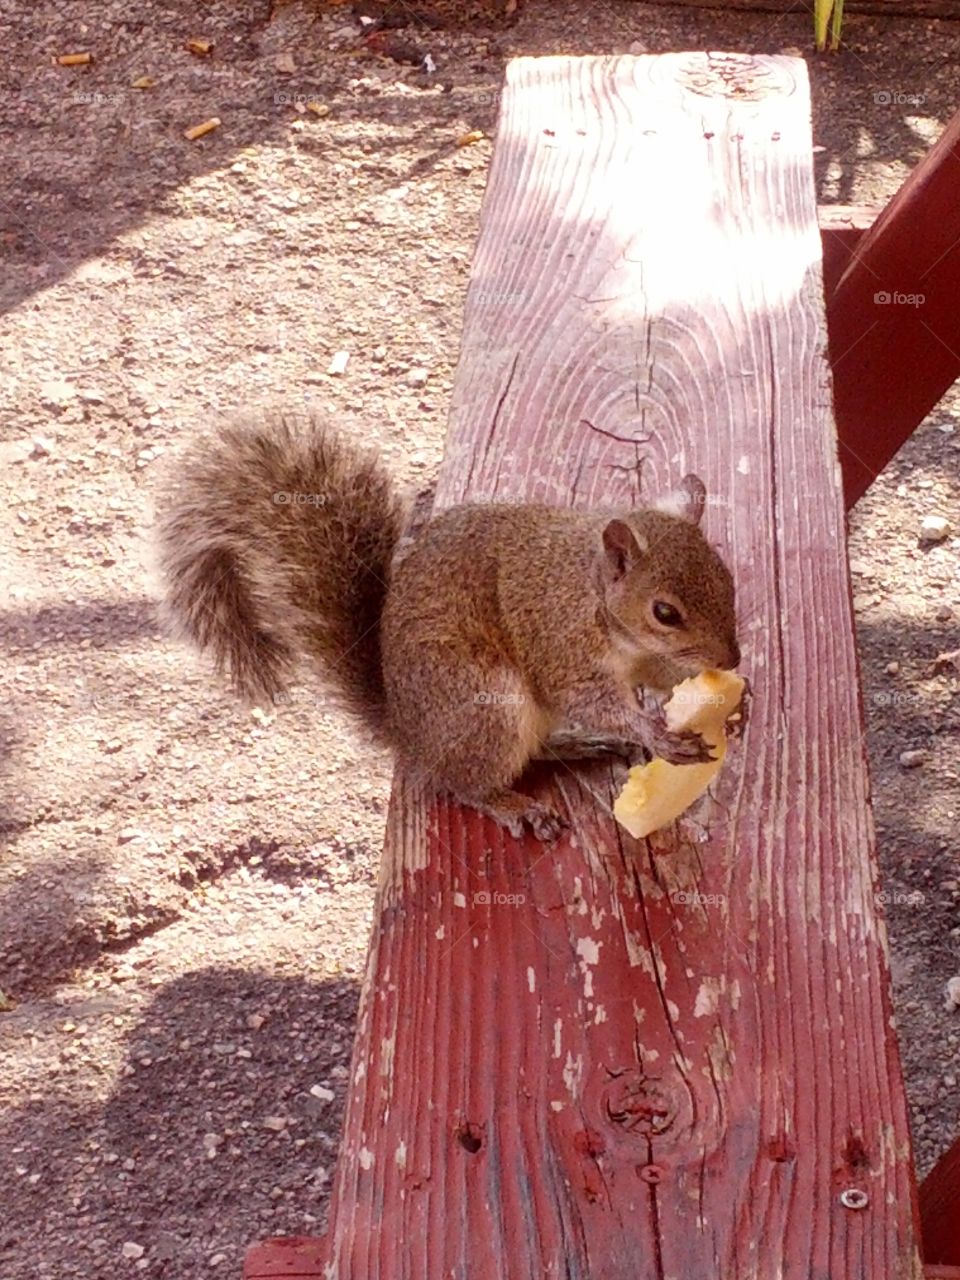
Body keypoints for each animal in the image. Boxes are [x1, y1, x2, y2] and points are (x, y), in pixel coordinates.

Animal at [156, 409, 742, 844]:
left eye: (726, 577)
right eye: (665, 612)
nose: (731, 659)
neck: (597, 597)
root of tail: (408, 736)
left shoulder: (643, 657)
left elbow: (662, 675)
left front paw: (735, 701)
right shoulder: (559, 640)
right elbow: (590, 696)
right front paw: (656, 732)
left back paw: (579, 743)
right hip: (485, 707)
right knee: (463, 784)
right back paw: (514, 805)